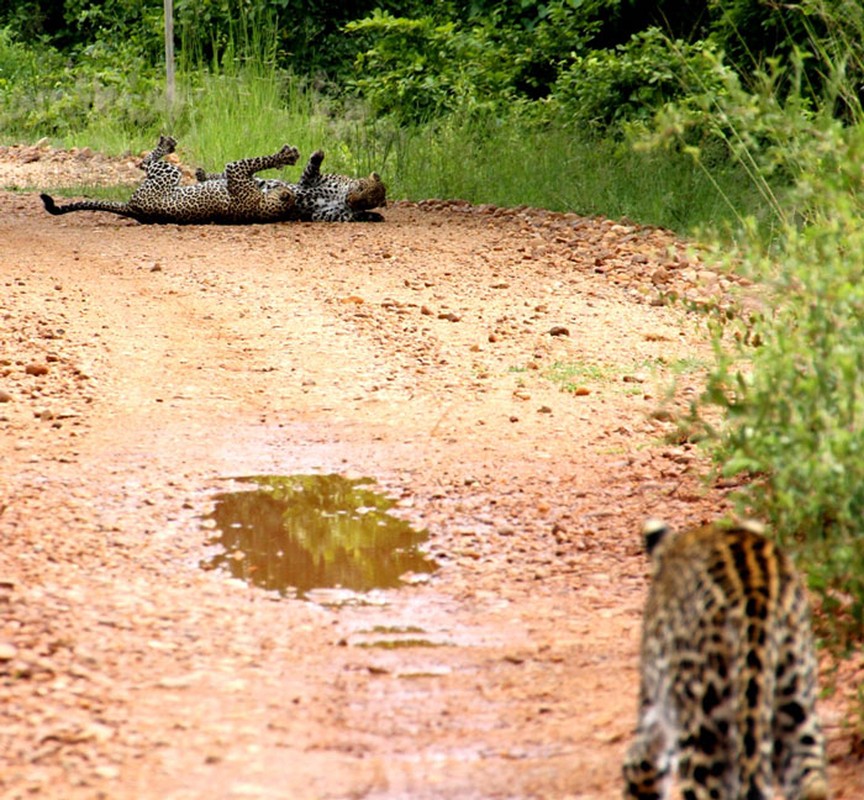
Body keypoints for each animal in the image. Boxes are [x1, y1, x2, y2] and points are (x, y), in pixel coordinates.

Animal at [624, 520, 828, 800]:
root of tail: (756, 595)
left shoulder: (655, 715)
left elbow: (639, 766)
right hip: (795, 708)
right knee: (812, 783)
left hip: (702, 729)